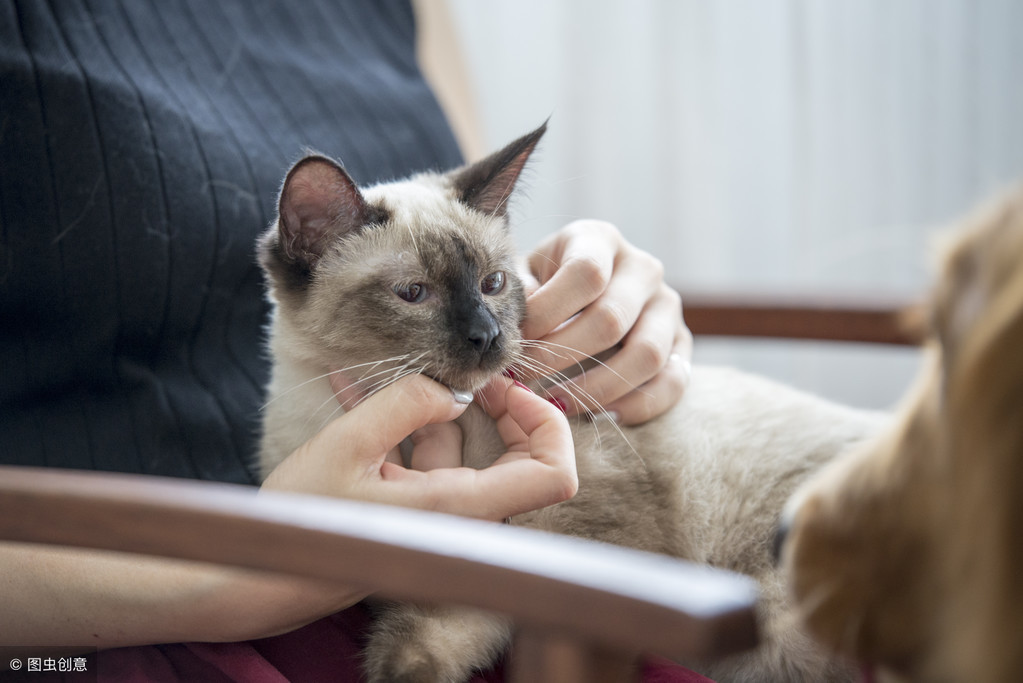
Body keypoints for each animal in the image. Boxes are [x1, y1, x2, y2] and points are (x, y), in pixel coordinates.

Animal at [257, 124, 887, 683]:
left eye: (492, 284)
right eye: (414, 294)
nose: (487, 337)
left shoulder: (575, 543)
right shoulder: (456, 572)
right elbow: (415, 651)